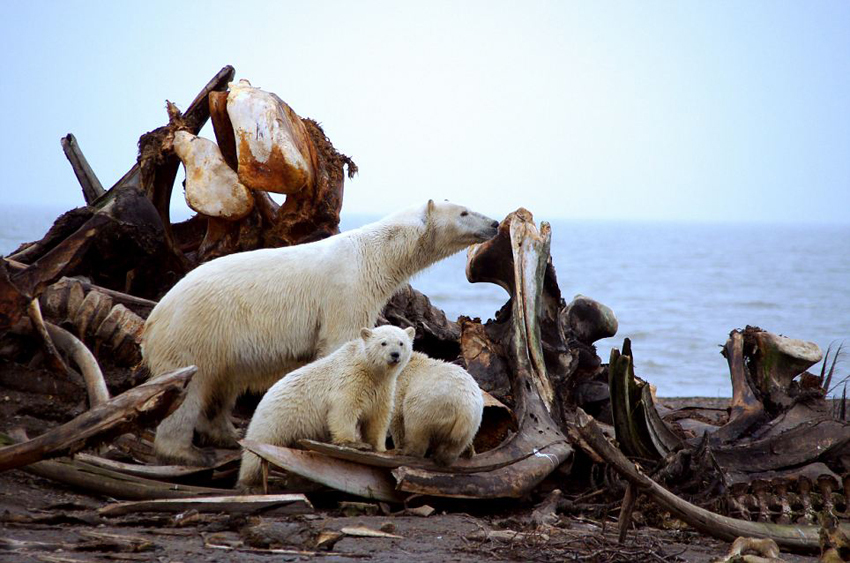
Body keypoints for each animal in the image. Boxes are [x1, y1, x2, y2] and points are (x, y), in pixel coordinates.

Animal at [139, 200, 496, 464]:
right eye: (464, 212)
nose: (493, 223)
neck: (372, 254)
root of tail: (152, 320)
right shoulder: (346, 289)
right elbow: (341, 342)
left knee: (222, 386)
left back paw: (229, 435)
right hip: (195, 332)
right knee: (190, 389)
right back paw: (185, 452)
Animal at [237, 326, 412, 490]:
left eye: (401, 343)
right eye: (383, 343)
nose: (395, 354)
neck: (370, 370)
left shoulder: (382, 391)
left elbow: (377, 419)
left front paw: (385, 450)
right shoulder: (349, 381)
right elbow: (344, 411)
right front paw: (354, 443)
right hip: (276, 418)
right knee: (257, 449)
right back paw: (250, 483)